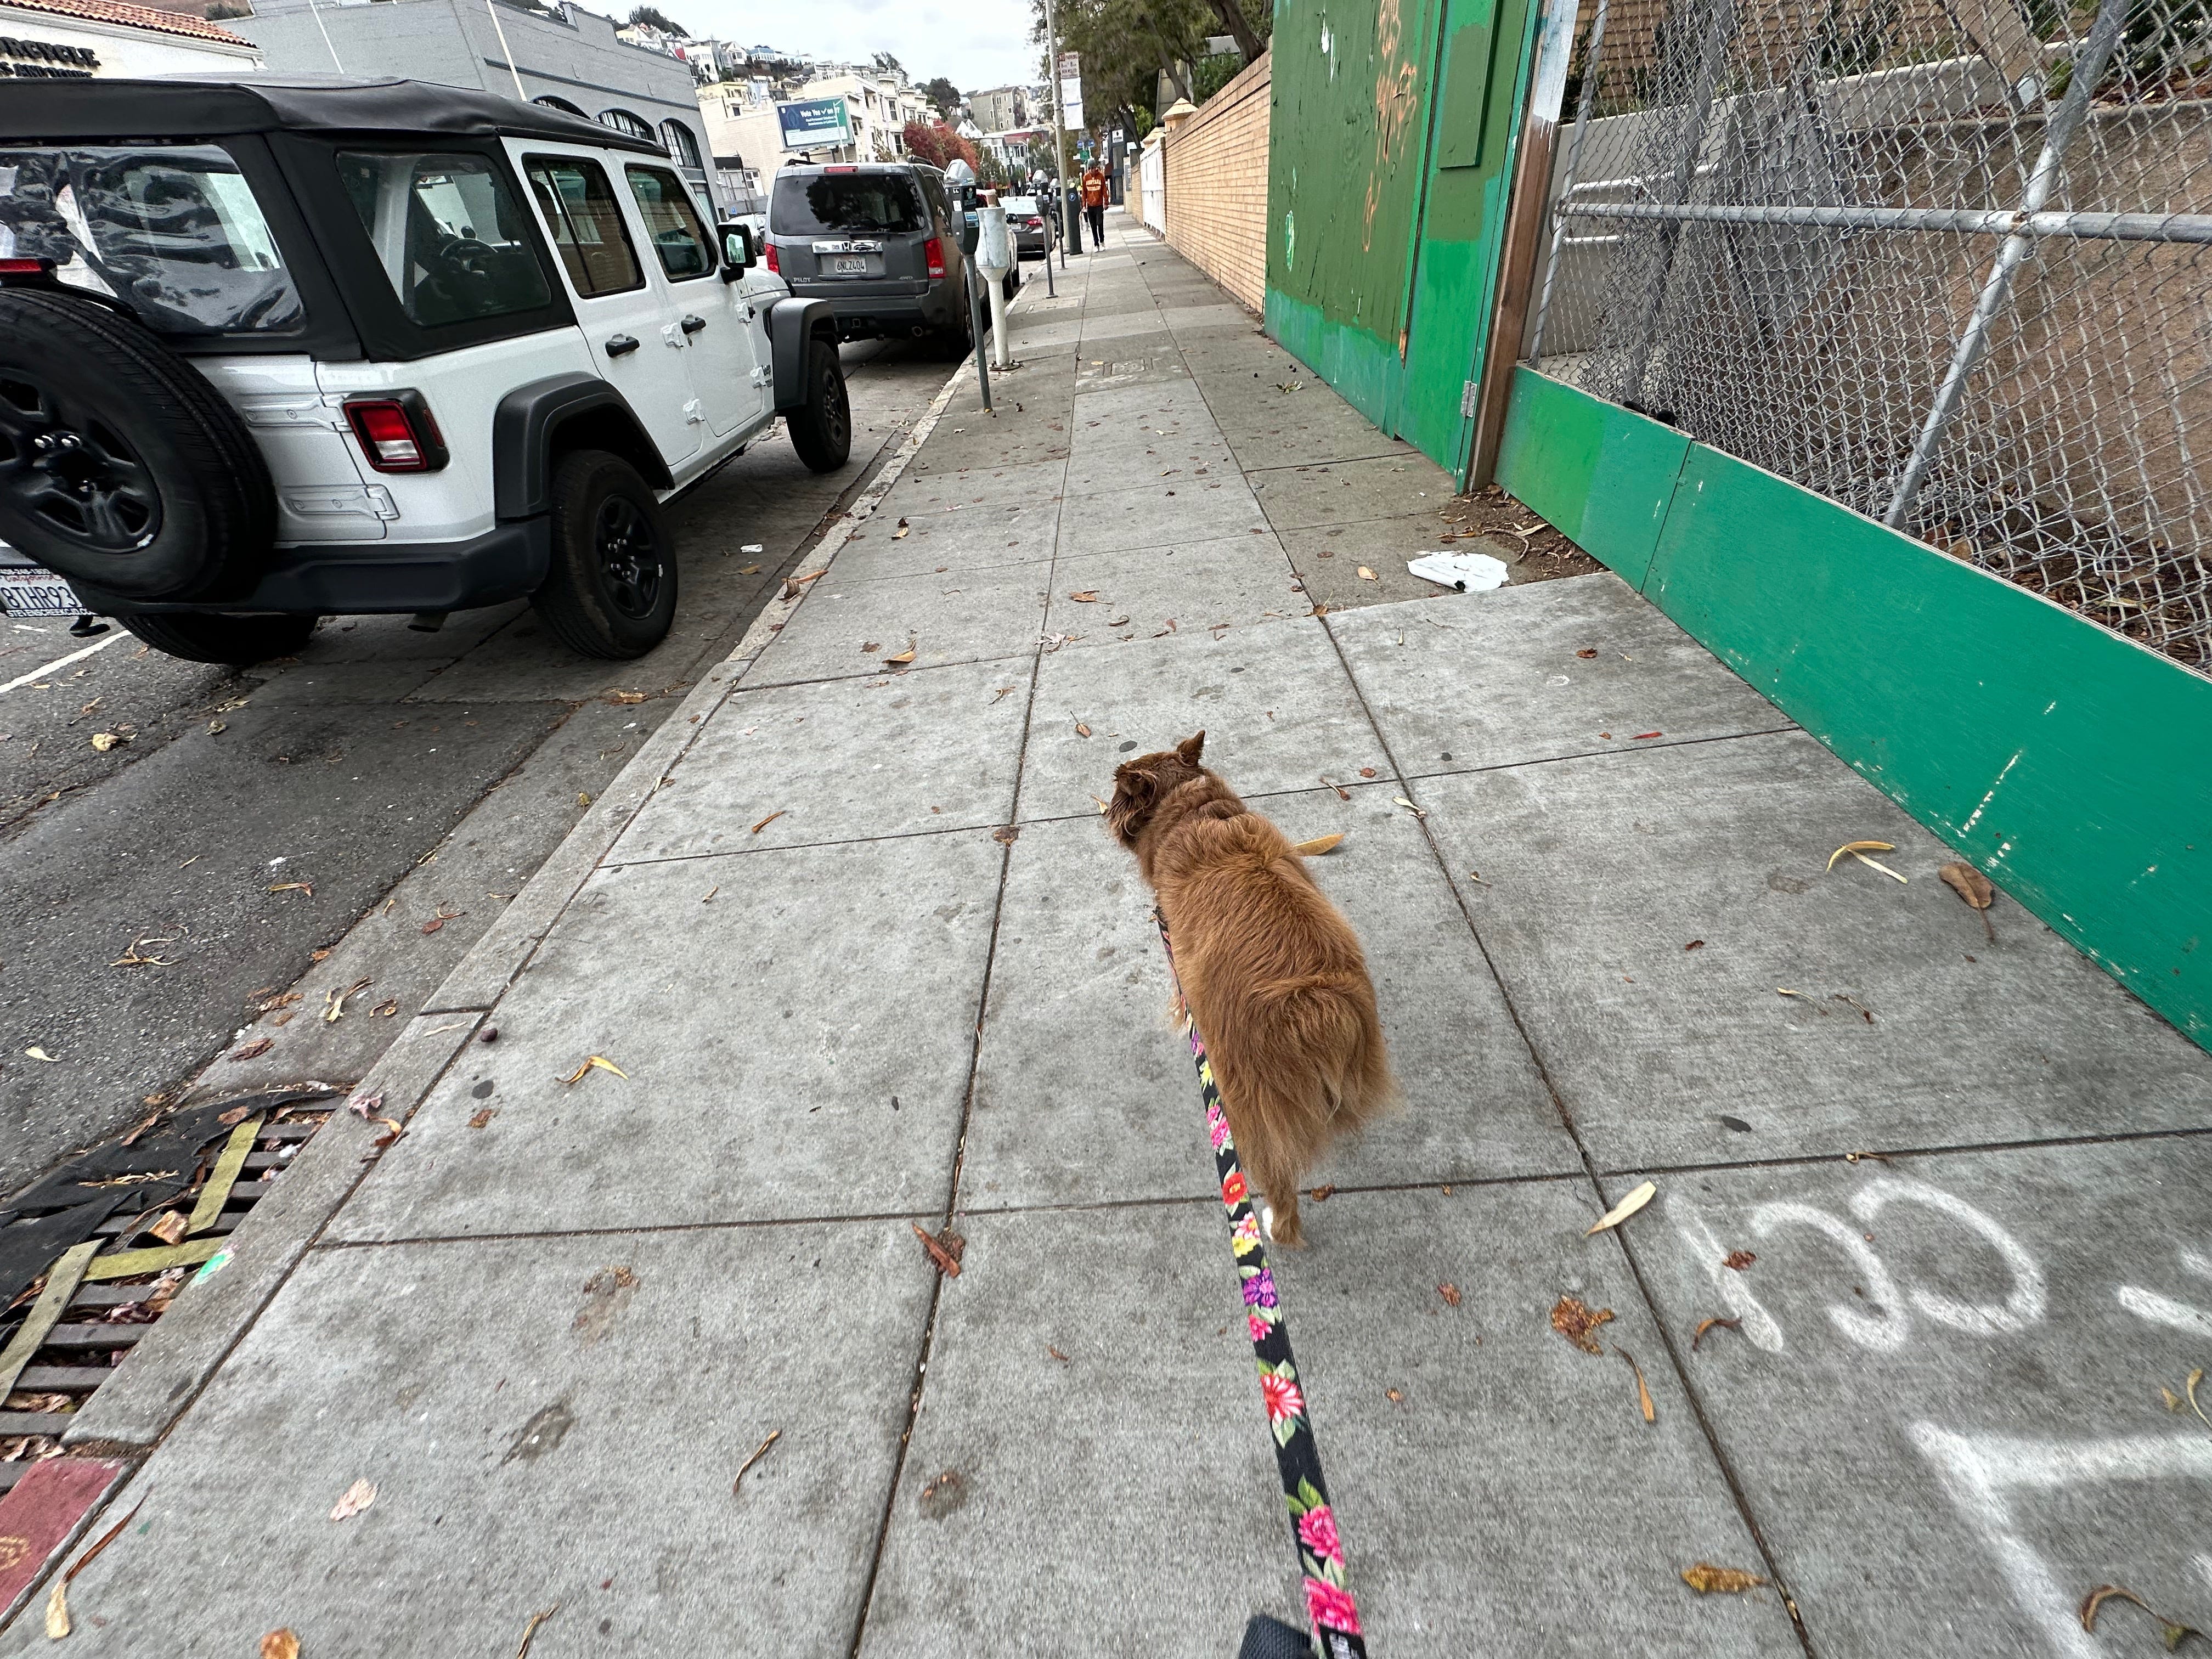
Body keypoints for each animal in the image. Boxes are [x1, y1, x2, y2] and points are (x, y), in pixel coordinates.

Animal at [1106, 730, 1398, 1248]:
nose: (1102, 809)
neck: (1192, 810)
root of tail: (1315, 1002)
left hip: (1245, 1107)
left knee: (1277, 1188)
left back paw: (1272, 1227)